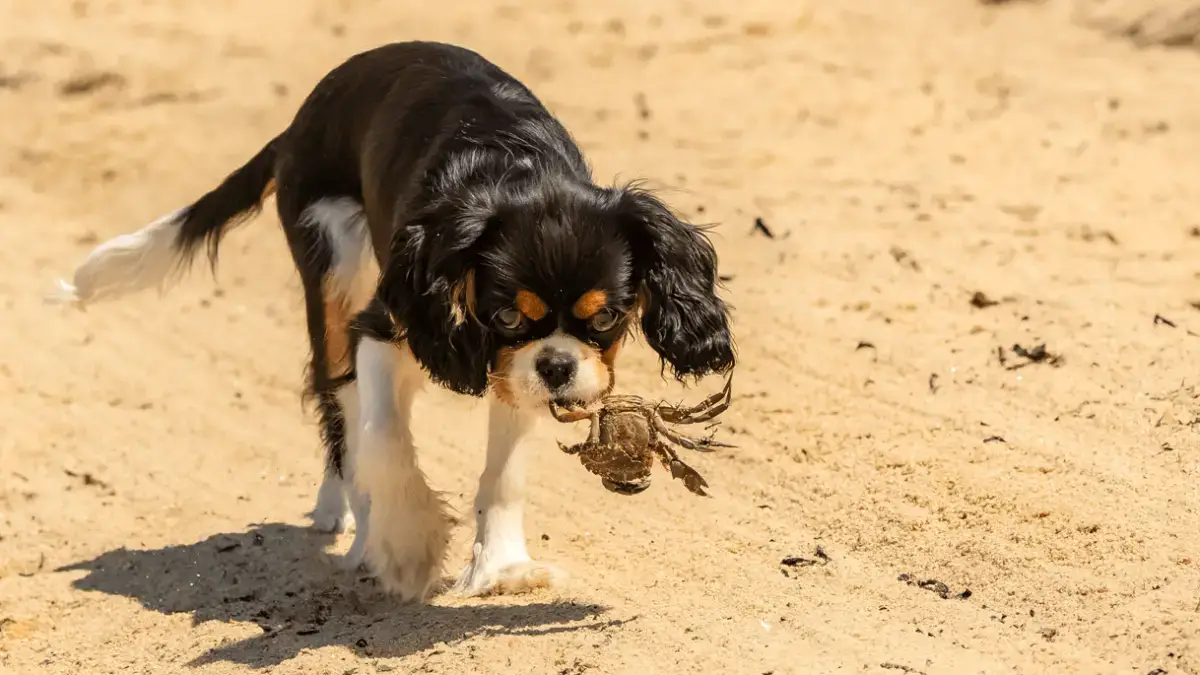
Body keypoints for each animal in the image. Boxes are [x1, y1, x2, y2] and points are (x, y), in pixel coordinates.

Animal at [56, 42, 734, 598]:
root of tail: (297, 125)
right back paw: (356, 525)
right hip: (334, 271)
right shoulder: (385, 326)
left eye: (608, 318)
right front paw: (408, 546)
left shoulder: (512, 374)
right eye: (506, 315)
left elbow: (504, 472)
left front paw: (502, 567)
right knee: (341, 410)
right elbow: (382, 436)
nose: (559, 367)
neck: (515, 174)